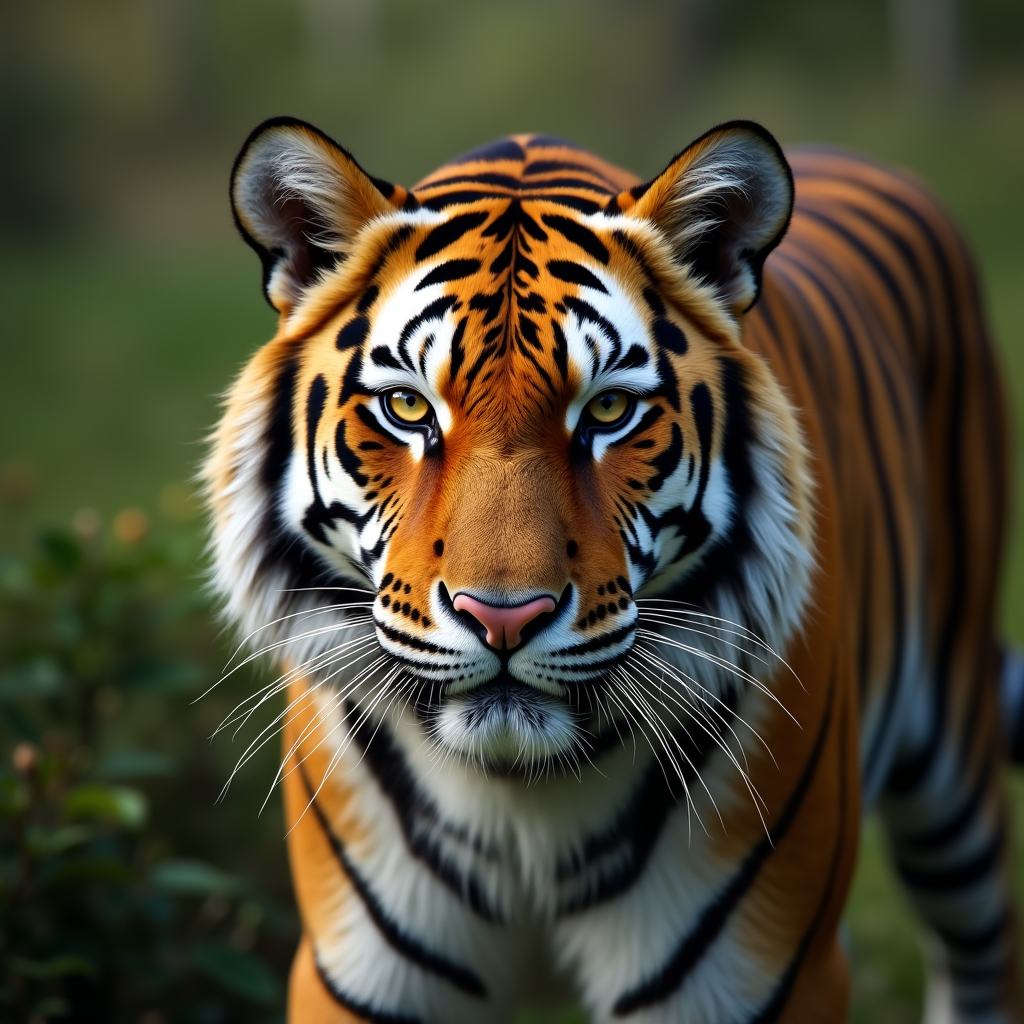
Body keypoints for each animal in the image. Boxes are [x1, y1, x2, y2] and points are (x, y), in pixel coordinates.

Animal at [204, 115, 1023, 1023]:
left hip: (955, 779)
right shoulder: (363, 979)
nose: (503, 618)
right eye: (409, 406)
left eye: (608, 410)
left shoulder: (759, 976)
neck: (520, 797)